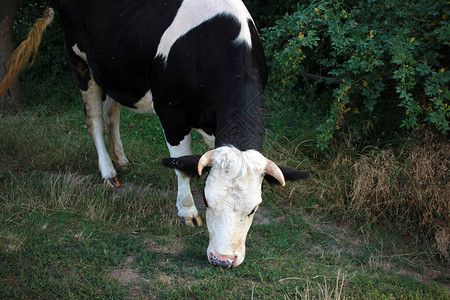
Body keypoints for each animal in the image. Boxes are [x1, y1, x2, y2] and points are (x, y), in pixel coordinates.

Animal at [0, 0, 308, 268]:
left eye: (253, 209)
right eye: (207, 201)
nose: (222, 260)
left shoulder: (215, 126)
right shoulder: (171, 114)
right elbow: (182, 167)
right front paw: (187, 213)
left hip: (117, 69)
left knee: (112, 112)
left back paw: (121, 158)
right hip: (79, 58)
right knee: (94, 119)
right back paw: (108, 171)